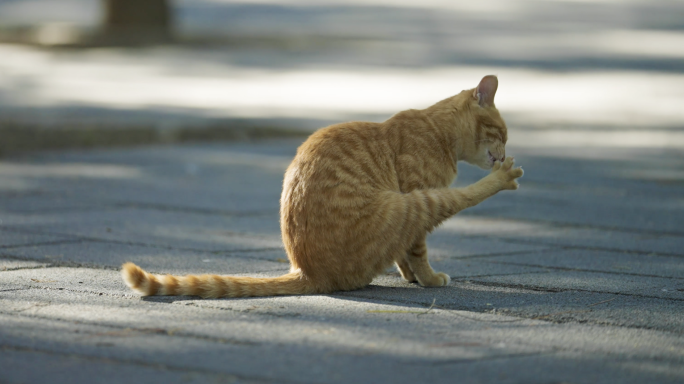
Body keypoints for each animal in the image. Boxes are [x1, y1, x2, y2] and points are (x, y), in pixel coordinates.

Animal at [123, 74, 524, 296]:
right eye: (503, 133)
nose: (505, 152)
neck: (438, 130)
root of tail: (308, 272)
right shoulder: (418, 193)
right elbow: (417, 250)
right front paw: (427, 278)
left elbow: (404, 253)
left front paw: (411, 277)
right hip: (407, 204)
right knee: (460, 198)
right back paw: (502, 178)